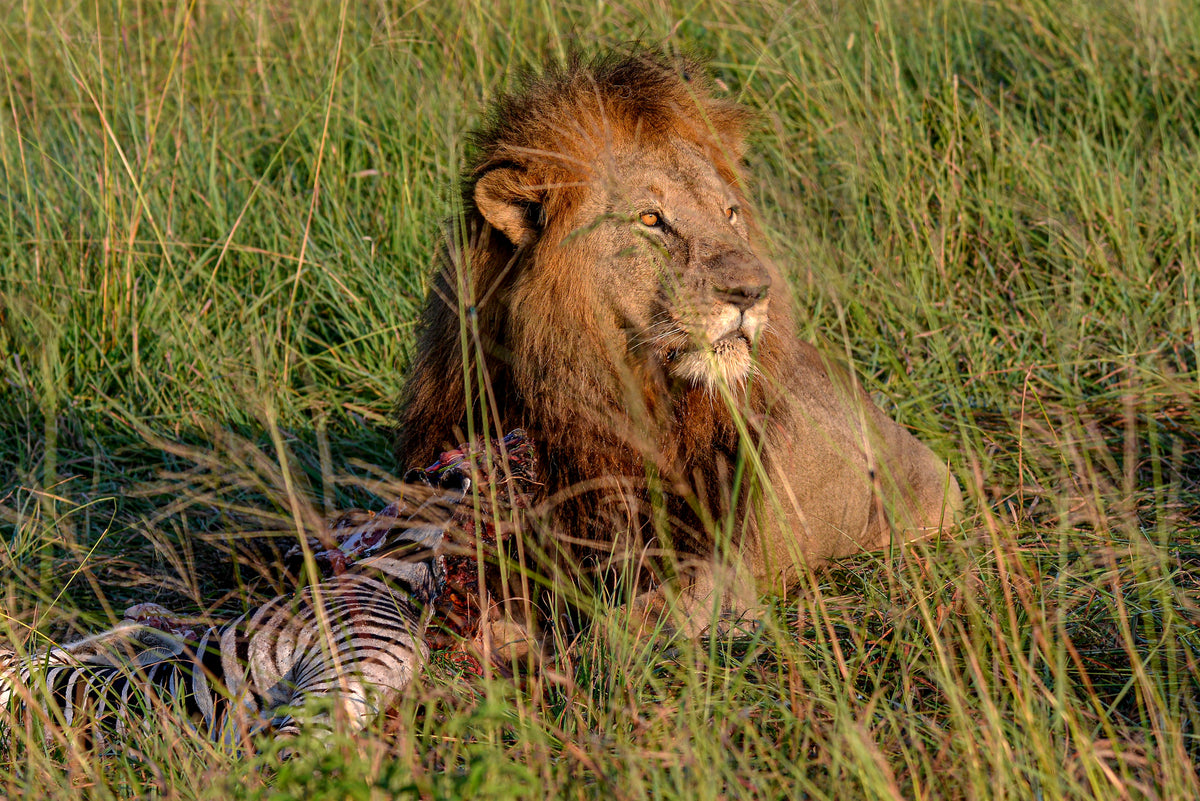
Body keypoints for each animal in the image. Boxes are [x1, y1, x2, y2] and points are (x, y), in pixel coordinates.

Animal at [395, 49, 962, 640]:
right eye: (651, 218)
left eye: (730, 213)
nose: (754, 291)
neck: (594, 395)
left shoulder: (716, 574)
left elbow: (621, 630)